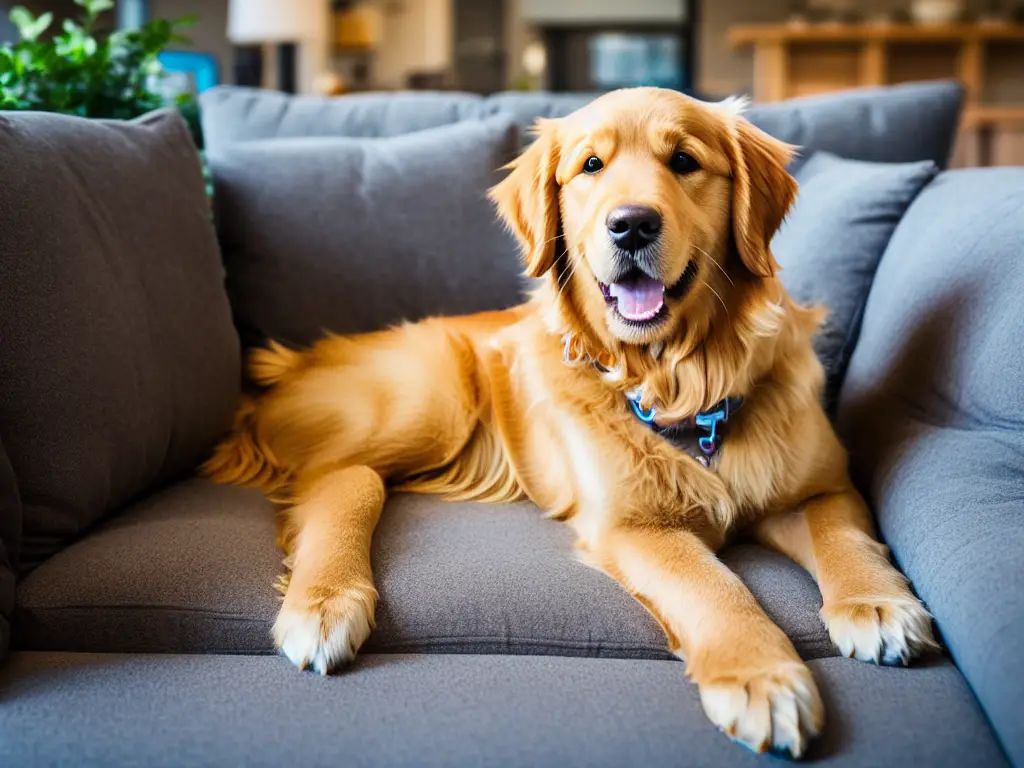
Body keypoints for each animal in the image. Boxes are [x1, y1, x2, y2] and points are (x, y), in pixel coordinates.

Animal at [203, 88, 937, 757]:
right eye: (590, 166)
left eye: (684, 160)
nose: (631, 225)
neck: (681, 386)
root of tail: (292, 361)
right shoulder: (635, 527)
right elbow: (716, 588)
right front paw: (763, 677)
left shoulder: (824, 487)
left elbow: (845, 538)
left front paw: (875, 605)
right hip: (431, 396)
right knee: (338, 480)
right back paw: (325, 603)